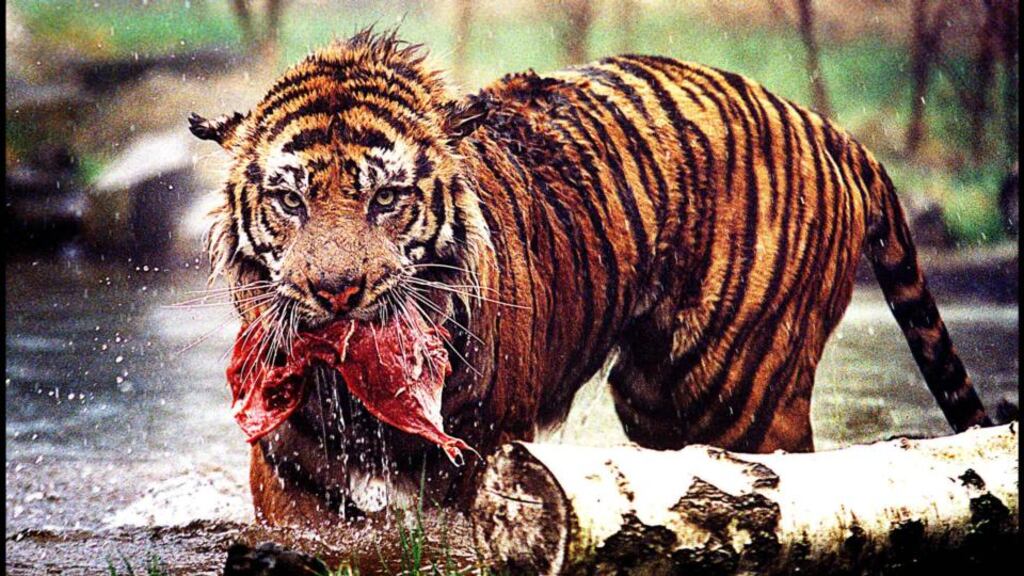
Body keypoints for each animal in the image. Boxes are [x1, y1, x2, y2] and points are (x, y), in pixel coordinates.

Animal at [189, 29, 992, 525]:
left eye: (386, 198)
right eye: (290, 200)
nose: (335, 292)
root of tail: (821, 122)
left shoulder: (481, 454)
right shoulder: (291, 473)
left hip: (742, 393)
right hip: (656, 398)